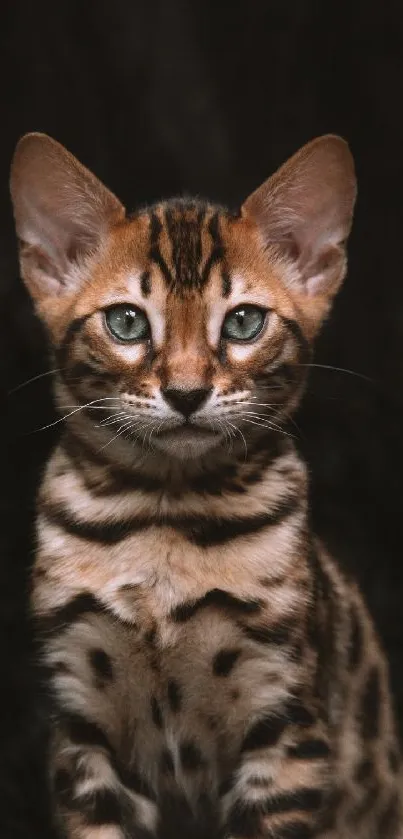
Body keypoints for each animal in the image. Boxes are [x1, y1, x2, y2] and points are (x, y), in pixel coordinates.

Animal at [9, 133, 403, 839]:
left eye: (244, 322)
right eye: (127, 323)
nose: (186, 393)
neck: (162, 518)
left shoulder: (285, 727)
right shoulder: (82, 728)